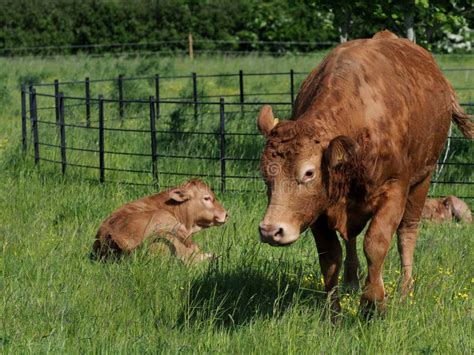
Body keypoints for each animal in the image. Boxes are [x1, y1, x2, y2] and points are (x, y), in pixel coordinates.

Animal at [258, 29, 472, 314]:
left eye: (309, 173)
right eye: (265, 174)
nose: (271, 231)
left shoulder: (395, 190)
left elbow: (376, 243)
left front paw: (373, 303)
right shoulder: (318, 209)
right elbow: (330, 257)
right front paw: (334, 312)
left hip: (422, 180)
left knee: (407, 233)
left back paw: (405, 289)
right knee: (350, 238)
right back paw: (351, 281)